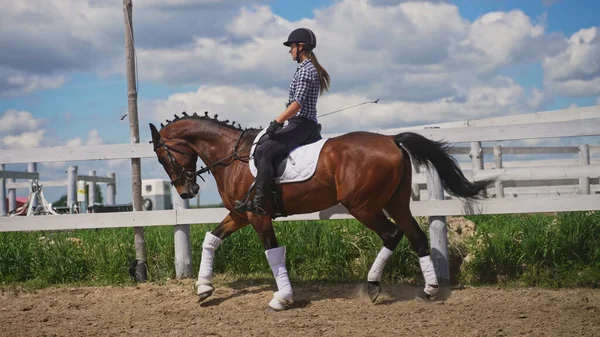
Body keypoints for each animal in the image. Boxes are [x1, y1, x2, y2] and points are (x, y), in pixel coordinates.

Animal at [148, 111, 494, 312]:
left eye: (164, 157)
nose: (186, 192)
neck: (233, 158)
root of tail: (392, 140)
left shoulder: (258, 216)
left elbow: (273, 252)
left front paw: (282, 298)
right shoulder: (240, 214)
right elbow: (211, 239)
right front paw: (204, 288)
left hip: (363, 206)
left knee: (393, 234)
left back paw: (373, 285)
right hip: (395, 202)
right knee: (417, 237)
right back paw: (430, 289)